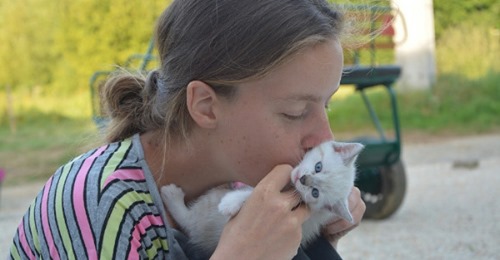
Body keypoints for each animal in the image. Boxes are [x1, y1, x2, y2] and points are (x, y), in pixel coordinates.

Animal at [162, 141, 362, 256]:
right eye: (318, 167)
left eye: (315, 192)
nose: (303, 179)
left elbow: (254, 192)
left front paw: (230, 203)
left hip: (205, 213)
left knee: (188, 221)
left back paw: (171, 195)